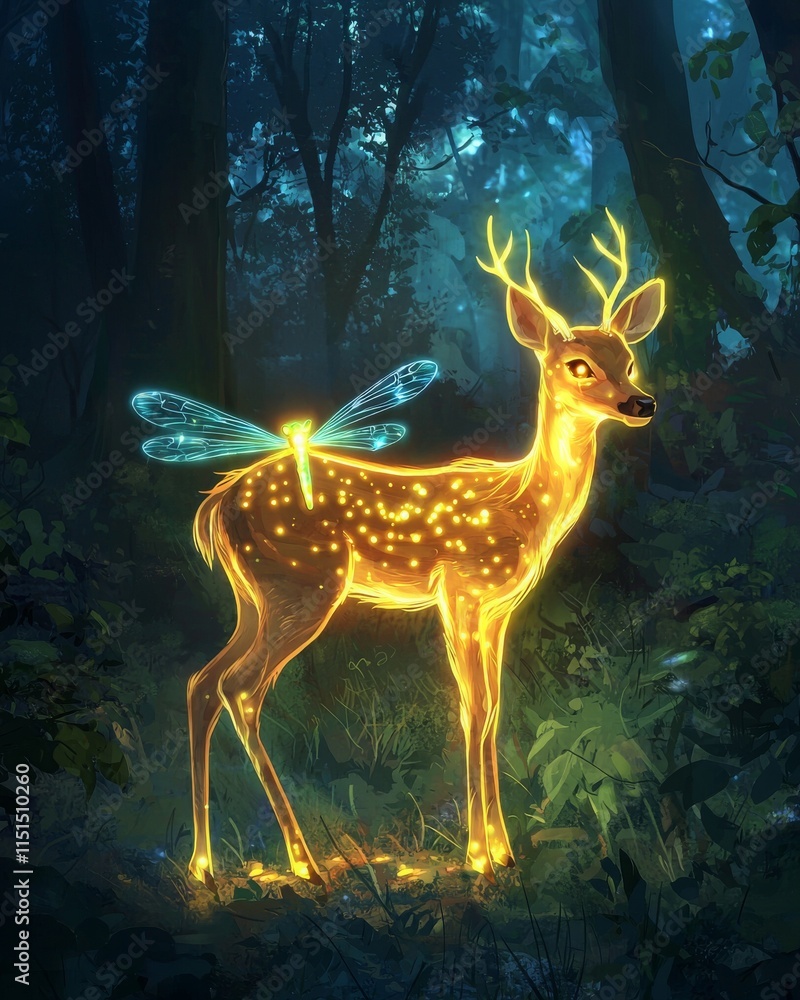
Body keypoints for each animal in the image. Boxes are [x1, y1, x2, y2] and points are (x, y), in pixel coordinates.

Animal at [136, 210, 665, 888]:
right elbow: (473, 709)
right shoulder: (461, 590)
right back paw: (304, 862)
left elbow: (491, 710)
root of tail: (216, 503)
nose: (641, 402)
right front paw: (480, 858)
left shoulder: (497, 610)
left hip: (252, 596)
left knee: (201, 682)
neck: (523, 507)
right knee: (241, 687)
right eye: (578, 365)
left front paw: (504, 851)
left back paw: (204, 866)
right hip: (301, 586)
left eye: (628, 357)